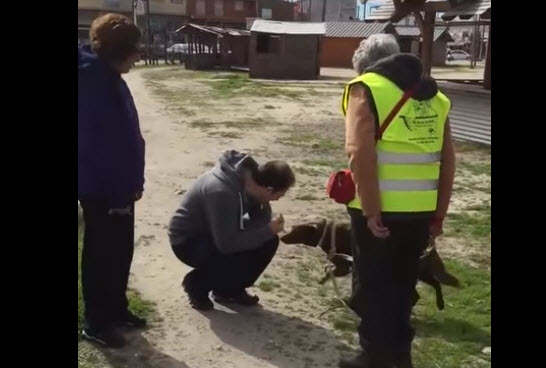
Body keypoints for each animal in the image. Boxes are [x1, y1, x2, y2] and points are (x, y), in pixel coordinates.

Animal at [280, 218, 460, 310]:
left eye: (295, 231)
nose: (281, 237)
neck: (326, 233)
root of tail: (429, 244)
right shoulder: (346, 266)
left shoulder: (345, 266)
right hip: (419, 273)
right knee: (433, 285)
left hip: (416, 273)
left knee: (425, 290)